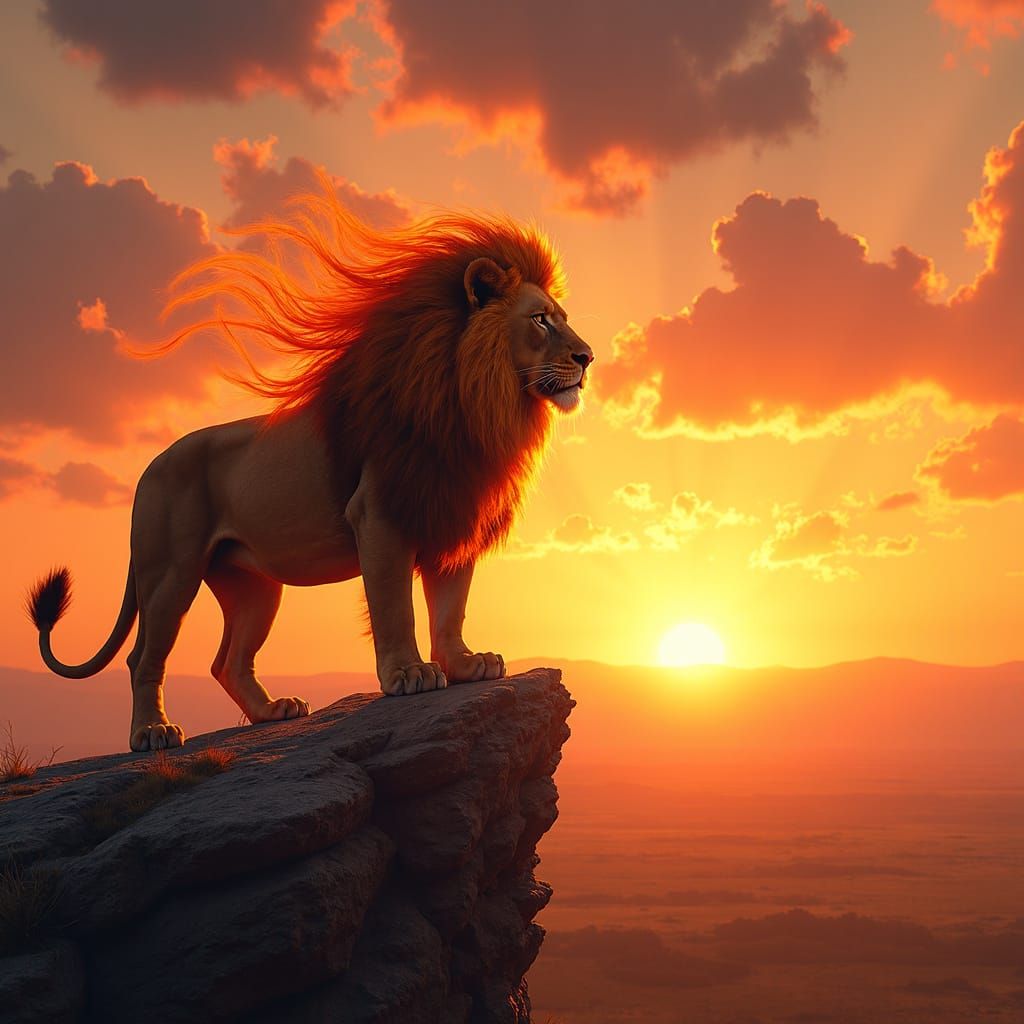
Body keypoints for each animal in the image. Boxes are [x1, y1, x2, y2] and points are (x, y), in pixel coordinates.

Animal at [25, 189, 593, 752]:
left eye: (561, 317)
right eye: (541, 320)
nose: (587, 357)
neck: (478, 401)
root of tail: (148, 468)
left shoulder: (449, 511)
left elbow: (452, 605)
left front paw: (466, 664)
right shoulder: (380, 514)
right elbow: (395, 605)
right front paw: (408, 674)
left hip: (253, 585)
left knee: (227, 661)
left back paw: (273, 711)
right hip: (170, 573)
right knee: (142, 658)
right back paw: (153, 731)